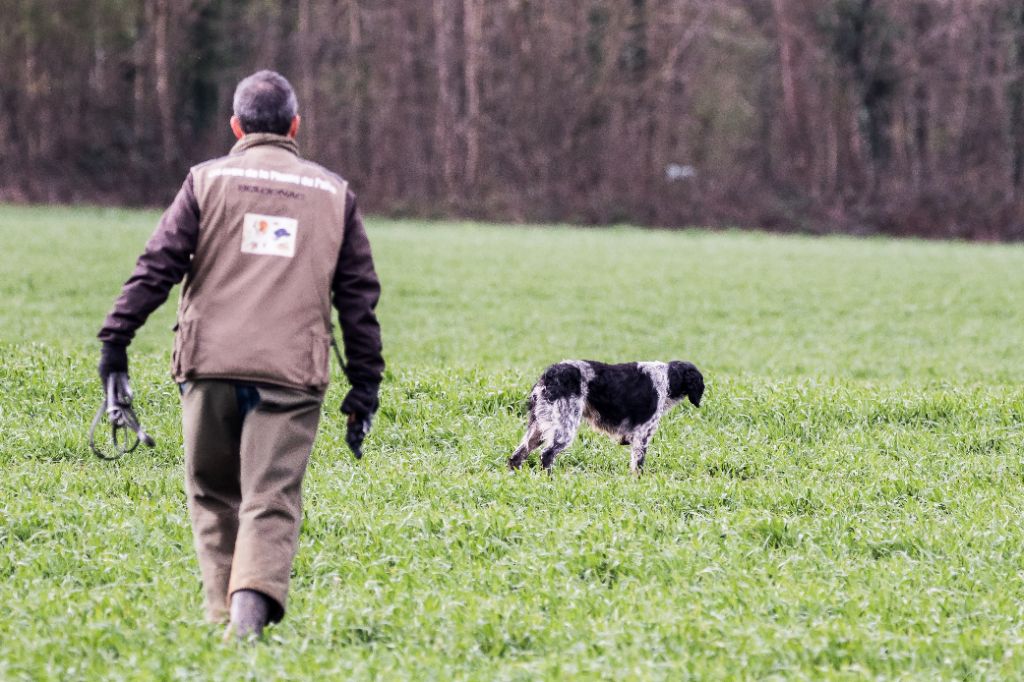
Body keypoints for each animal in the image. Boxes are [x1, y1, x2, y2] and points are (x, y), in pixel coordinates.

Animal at [508, 360, 704, 473]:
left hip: (538, 428)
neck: (668, 378)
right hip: (563, 429)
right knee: (546, 455)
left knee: (516, 457)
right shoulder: (642, 435)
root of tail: (549, 375)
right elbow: (638, 467)